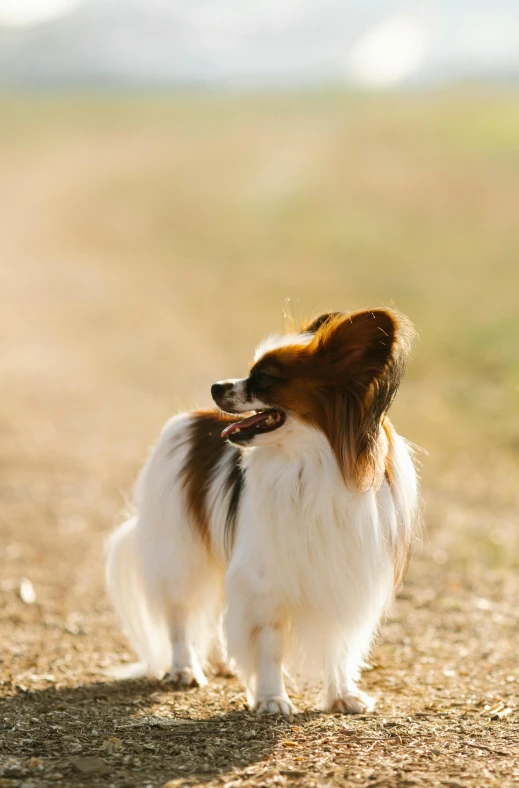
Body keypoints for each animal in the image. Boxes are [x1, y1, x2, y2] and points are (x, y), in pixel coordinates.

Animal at [107, 308, 420, 716]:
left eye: (265, 379)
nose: (216, 386)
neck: (311, 462)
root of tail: (191, 418)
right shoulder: (264, 577)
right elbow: (269, 644)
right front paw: (272, 697)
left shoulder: (345, 576)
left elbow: (338, 643)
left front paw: (341, 694)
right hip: (181, 556)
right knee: (180, 615)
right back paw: (184, 669)